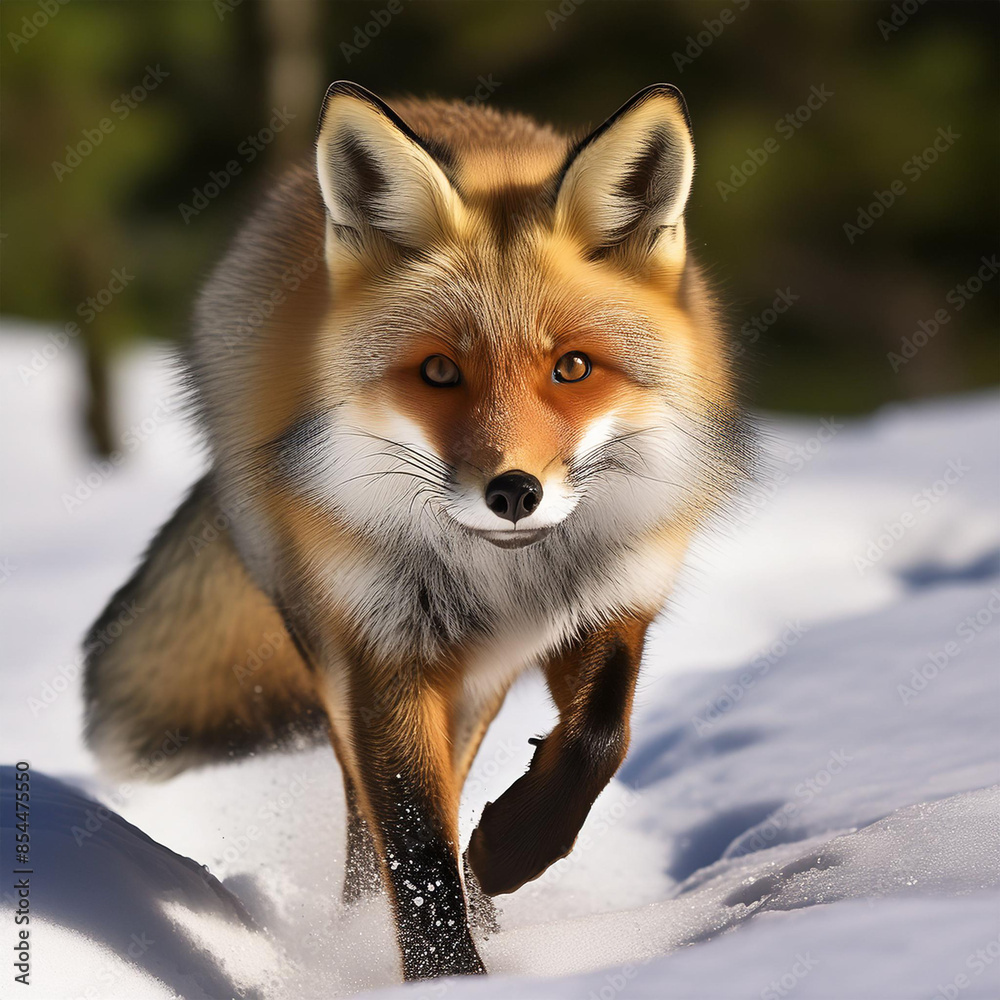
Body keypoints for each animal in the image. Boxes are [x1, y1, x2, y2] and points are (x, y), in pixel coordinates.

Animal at [83, 81, 750, 980]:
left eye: (572, 367)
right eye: (439, 371)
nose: (514, 492)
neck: (505, 572)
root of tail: (430, 100)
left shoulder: (617, 598)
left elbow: (598, 738)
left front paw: (508, 853)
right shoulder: (383, 644)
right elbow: (412, 840)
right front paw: (446, 976)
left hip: (482, 672)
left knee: (464, 774)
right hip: (335, 644)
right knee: (367, 812)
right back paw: (366, 919)